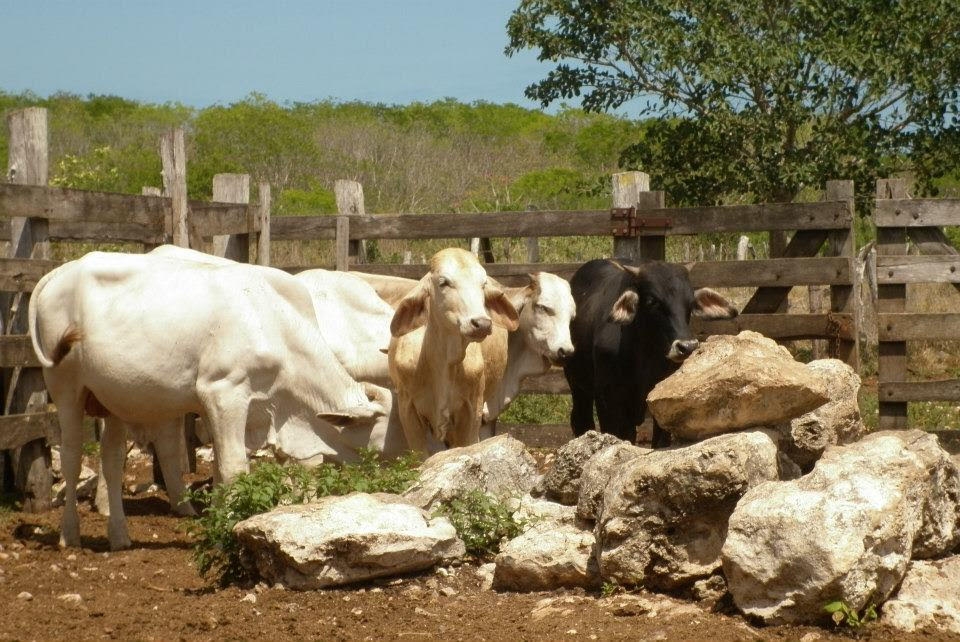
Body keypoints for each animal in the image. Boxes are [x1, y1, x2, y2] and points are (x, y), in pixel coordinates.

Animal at [31, 248, 388, 548]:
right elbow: (233, 467)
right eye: (382, 429)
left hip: (113, 398)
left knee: (112, 459)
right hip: (66, 390)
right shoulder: (223, 393)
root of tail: (63, 269)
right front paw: (229, 528)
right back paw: (69, 536)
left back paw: (120, 536)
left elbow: (224, 466)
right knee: (73, 458)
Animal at [568, 258, 740, 448]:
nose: (687, 346)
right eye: (652, 301)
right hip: (577, 386)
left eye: (690, 302)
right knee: (580, 421)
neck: (644, 355)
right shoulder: (608, 399)